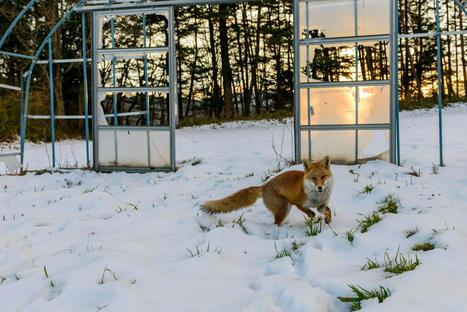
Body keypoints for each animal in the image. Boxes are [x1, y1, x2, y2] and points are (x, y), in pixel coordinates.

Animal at [201, 156, 332, 227]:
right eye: (313, 178)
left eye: (323, 177)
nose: (320, 188)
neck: (317, 196)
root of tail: (264, 186)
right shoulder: (297, 202)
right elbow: (309, 212)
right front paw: (313, 217)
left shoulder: (321, 205)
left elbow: (328, 211)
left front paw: (328, 220)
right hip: (285, 207)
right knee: (276, 223)